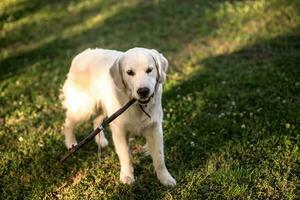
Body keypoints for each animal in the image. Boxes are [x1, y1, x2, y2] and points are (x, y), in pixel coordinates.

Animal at [60, 47, 176, 186]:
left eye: (149, 70)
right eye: (130, 72)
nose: (143, 91)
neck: (137, 105)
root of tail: (81, 54)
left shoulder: (154, 128)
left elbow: (159, 157)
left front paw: (165, 178)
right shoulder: (119, 130)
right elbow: (125, 155)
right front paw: (127, 176)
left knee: (96, 122)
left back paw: (101, 141)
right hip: (84, 108)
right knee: (68, 122)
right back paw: (70, 143)